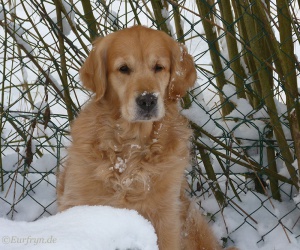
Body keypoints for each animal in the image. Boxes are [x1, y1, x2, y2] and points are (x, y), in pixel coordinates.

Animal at [56, 25, 234, 250]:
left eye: (158, 67)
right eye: (123, 68)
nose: (147, 100)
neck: (131, 146)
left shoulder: (166, 216)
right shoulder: (78, 202)